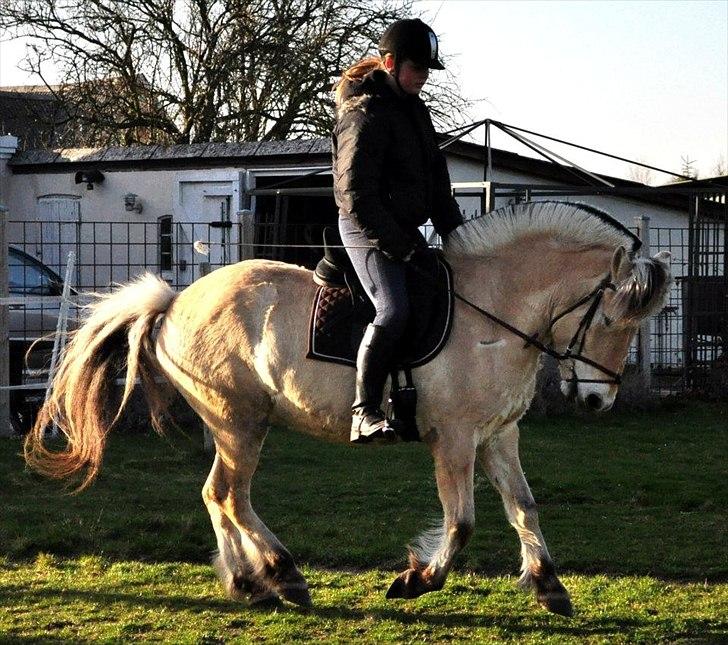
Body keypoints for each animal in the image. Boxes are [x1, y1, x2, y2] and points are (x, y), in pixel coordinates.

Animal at [24, 200, 672, 612]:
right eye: (611, 321)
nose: (597, 399)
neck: (493, 314)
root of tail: (175, 301)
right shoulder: (455, 439)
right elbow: (461, 523)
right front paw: (416, 578)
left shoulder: (498, 435)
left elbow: (525, 507)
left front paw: (547, 585)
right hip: (239, 423)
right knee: (228, 495)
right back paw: (280, 576)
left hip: (237, 426)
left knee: (217, 495)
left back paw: (249, 583)